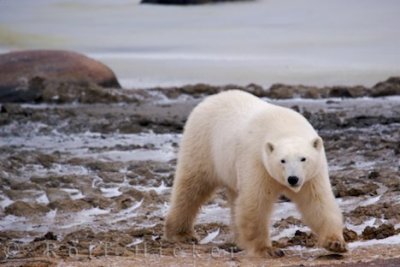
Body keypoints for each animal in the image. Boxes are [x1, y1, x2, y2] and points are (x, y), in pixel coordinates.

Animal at [164, 90, 346, 258]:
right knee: (192, 187)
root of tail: (210, 98)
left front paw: (335, 243)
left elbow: (317, 202)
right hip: (203, 145)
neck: (284, 126)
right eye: (282, 160)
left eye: (303, 158)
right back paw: (182, 233)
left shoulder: (312, 175)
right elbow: (255, 202)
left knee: (233, 196)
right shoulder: (257, 161)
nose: (293, 179)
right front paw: (267, 250)